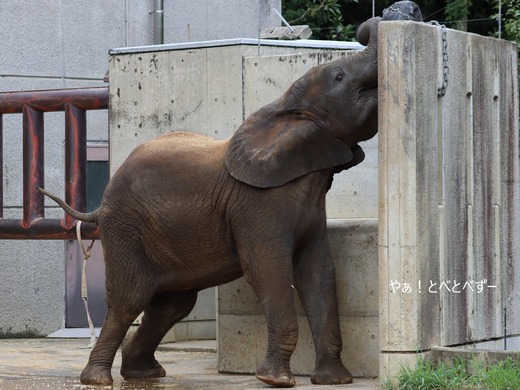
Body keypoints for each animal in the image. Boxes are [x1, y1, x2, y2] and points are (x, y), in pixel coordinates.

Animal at [39, 14, 382, 386]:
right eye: (339, 77)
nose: (373, 23)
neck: (282, 110)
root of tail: (100, 205)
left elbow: (318, 275)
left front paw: (334, 380)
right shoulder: (258, 206)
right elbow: (268, 271)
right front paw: (275, 380)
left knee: (173, 305)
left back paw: (145, 373)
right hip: (123, 229)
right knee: (130, 300)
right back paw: (99, 379)